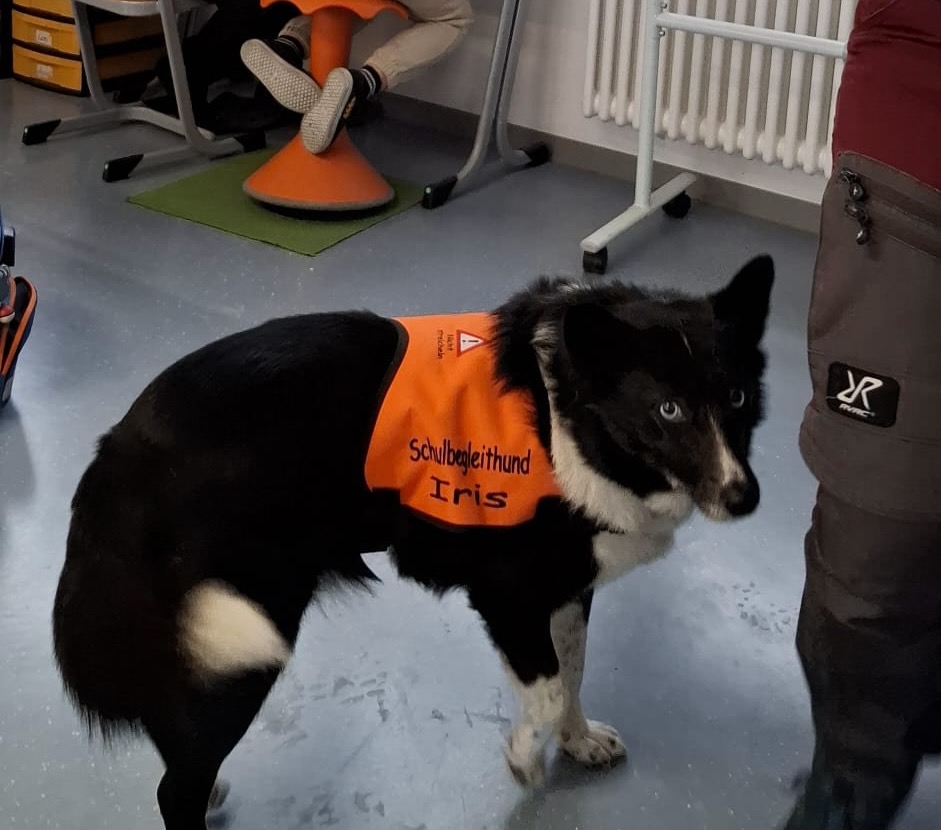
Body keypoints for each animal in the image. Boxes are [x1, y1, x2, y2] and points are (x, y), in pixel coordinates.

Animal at [52, 254, 773, 829]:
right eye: (667, 410)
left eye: (737, 396)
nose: (745, 499)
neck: (565, 414)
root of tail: (117, 451)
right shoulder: (507, 598)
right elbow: (543, 690)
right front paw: (524, 759)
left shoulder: (569, 588)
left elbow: (572, 672)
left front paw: (577, 741)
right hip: (249, 631)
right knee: (173, 787)